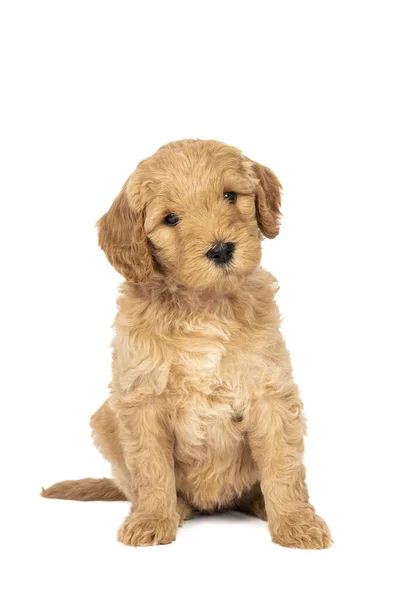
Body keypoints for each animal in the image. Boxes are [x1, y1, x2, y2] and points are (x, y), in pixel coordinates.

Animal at [43, 137, 332, 548]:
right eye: (170, 219)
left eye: (230, 195)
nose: (221, 250)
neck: (203, 306)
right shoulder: (141, 399)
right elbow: (151, 469)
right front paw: (151, 519)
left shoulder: (269, 390)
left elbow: (283, 464)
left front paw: (296, 522)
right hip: (104, 420)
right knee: (135, 485)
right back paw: (172, 508)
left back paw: (260, 503)